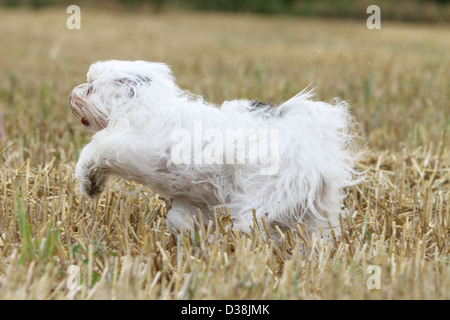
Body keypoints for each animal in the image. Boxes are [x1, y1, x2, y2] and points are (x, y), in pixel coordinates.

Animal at [68, 60, 360, 239]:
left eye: (91, 88)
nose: (72, 95)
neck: (140, 105)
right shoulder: (192, 197)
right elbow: (179, 219)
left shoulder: (134, 149)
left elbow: (96, 150)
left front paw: (89, 183)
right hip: (307, 212)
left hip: (260, 200)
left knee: (253, 227)